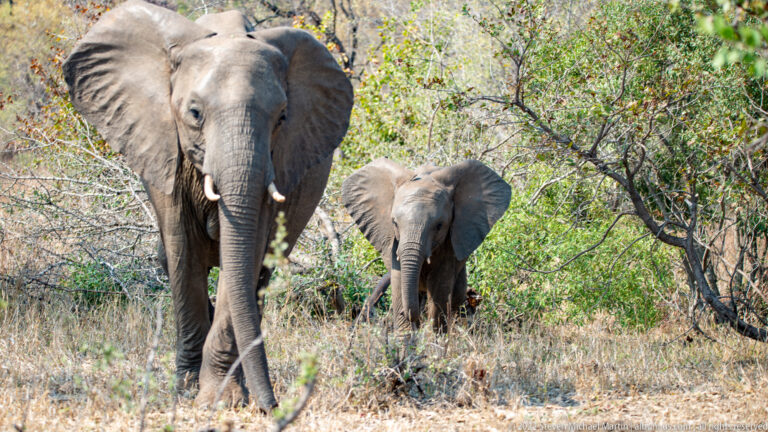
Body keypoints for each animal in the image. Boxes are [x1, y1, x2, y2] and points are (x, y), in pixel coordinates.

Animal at [62, 1, 353, 410]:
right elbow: (182, 252)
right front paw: (186, 390)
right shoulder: (165, 151)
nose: (274, 406)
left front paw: (221, 400)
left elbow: (245, 257)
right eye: (195, 113)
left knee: (258, 278)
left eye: (282, 117)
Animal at [342, 158, 510, 332]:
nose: (404, 313)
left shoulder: (449, 244)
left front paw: (434, 336)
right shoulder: (393, 241)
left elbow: (439, 288)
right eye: (394, 223)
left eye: (439, 225)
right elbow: (399, 281)